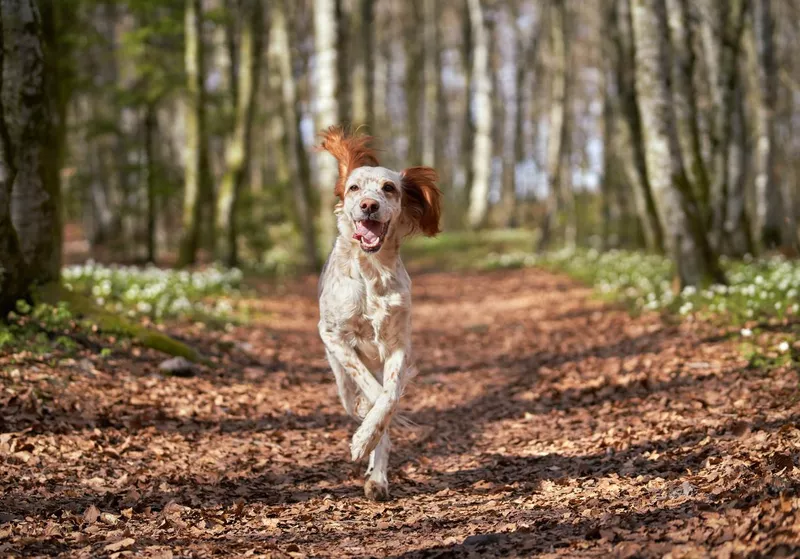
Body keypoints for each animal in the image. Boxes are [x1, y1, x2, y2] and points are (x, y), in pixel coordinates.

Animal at [318, 128, 444, 504]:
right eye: (354, 188)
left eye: (388, 188)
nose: (368, 206)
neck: (372, 273)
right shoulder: (332, 335)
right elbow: (374, 393)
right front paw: (364, 434)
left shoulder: (398, 345)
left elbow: (388, 397)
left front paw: (368, 437)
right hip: (338, 374)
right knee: (352, 394)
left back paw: (377, 478)